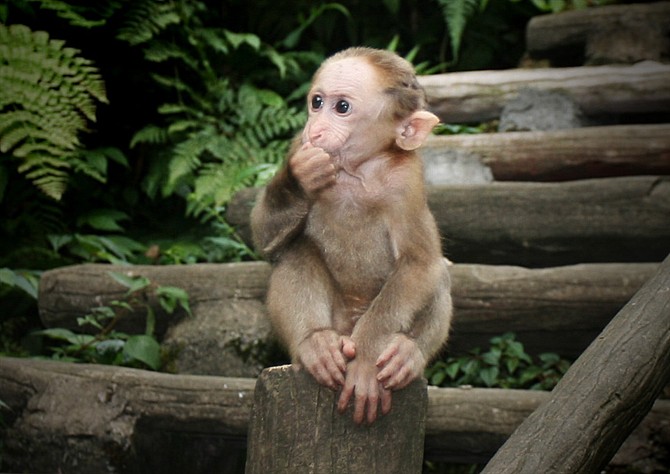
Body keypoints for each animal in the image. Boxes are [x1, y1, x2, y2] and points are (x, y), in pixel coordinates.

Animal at [251, 46, 452, 424]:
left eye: (341, 107)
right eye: (317, 102)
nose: (314, 129)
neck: (355, 172)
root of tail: (347, 328)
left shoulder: (407, 183)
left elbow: (419, 263)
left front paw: (365, 360)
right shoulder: (295, 145)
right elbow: (262, 236)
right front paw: (302, 178)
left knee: (439, 272)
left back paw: (407, 351)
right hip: (335, 321)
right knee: (295, 249)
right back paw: (315, 343)